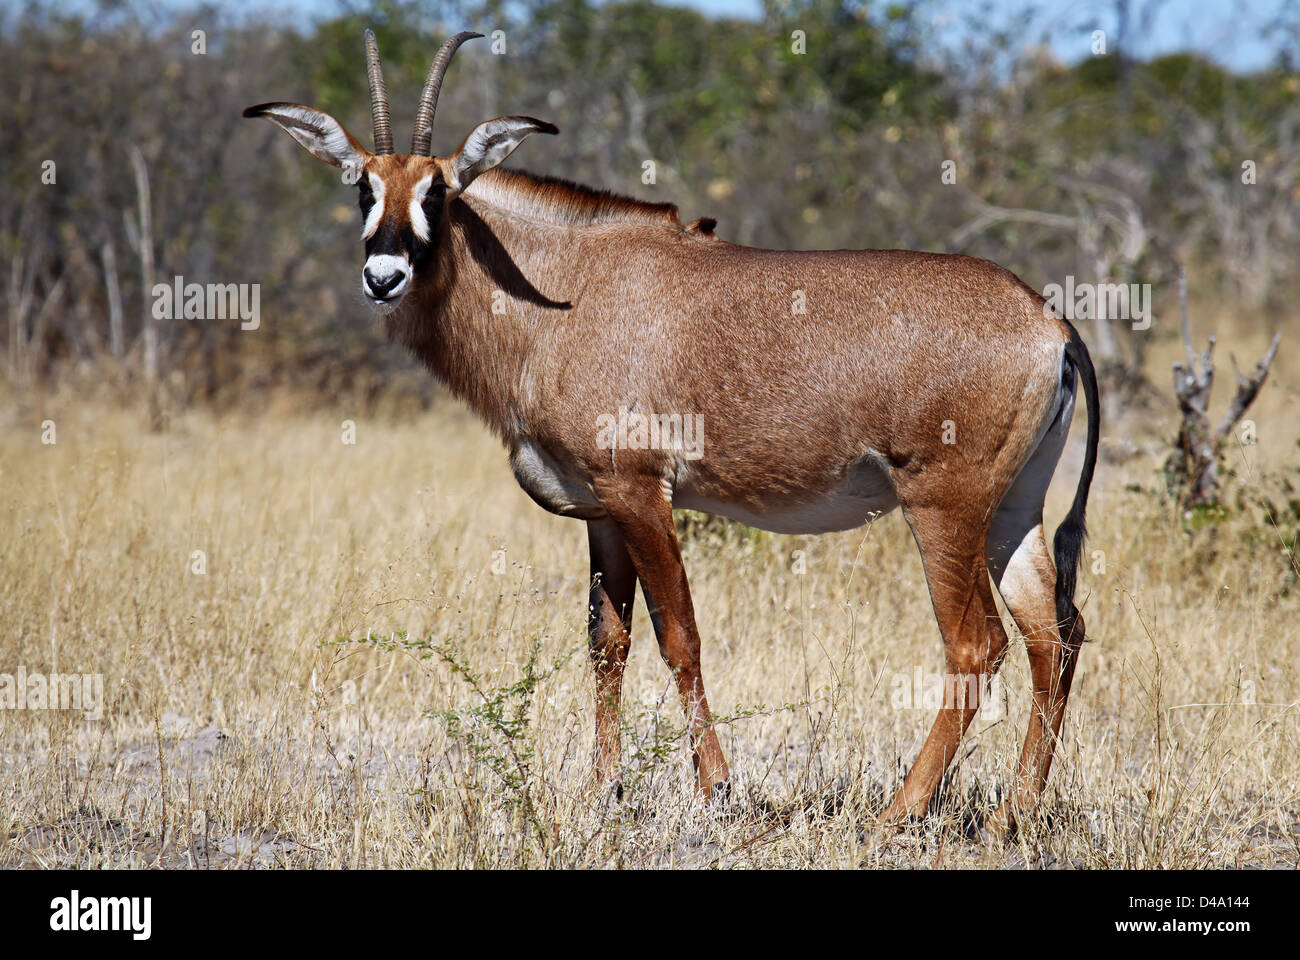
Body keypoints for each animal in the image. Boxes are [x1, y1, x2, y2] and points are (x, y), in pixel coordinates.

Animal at [245, 26, 1097, 827]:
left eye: (440, 193)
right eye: (362, 188)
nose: (383, 276)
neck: (565, 293)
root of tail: (1047, 323)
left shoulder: (640, 492)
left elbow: (678, 636)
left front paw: (715, 787)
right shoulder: (603, 512)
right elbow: (607, 643)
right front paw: (603, 790)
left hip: (942, 505)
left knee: (977, 643)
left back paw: (900, 812)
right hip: (1012, 508)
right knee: (1053, 634)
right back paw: (1016, 812)